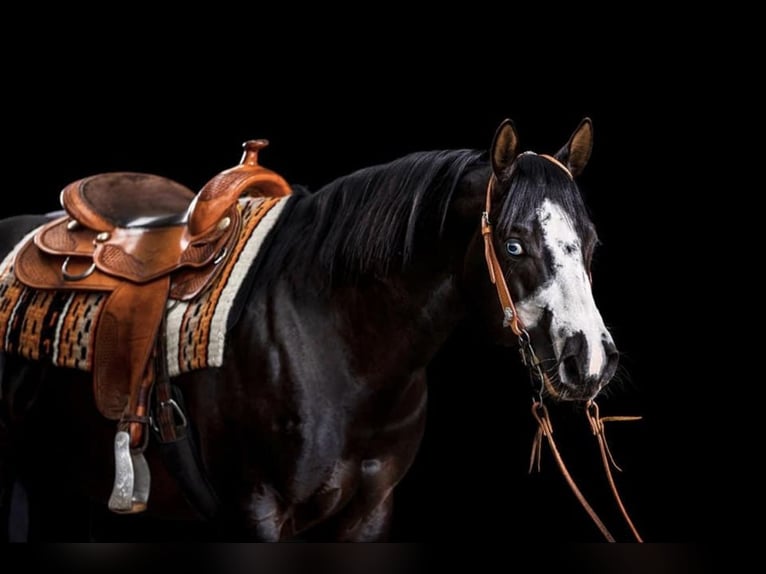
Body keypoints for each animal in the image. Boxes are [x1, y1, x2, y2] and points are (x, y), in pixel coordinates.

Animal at [0, 118, 624, 544]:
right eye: (513, 245)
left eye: (594, 243)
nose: (590, 359)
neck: (340, 344)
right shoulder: (258, 510)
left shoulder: (370, 513)